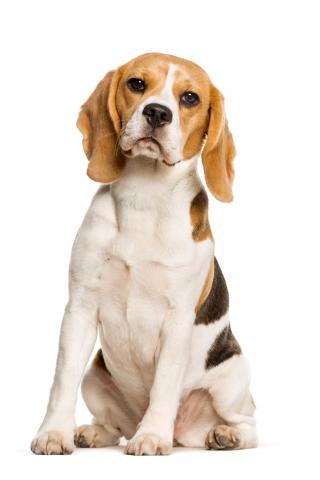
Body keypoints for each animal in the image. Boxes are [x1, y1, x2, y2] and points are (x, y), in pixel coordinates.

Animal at [30, 53, 258, 458]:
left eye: (190, 98)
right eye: (136, 84)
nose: (156, 112)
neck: (145, 196)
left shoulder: (178, 320)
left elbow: (164, 384)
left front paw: (152, 436)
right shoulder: (80, 309)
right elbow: (62, 379)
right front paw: (54, 433)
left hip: (234, 378)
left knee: (249, 424)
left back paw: (225, 436)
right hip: (96, 375)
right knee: (113, 424)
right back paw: (92, 432)